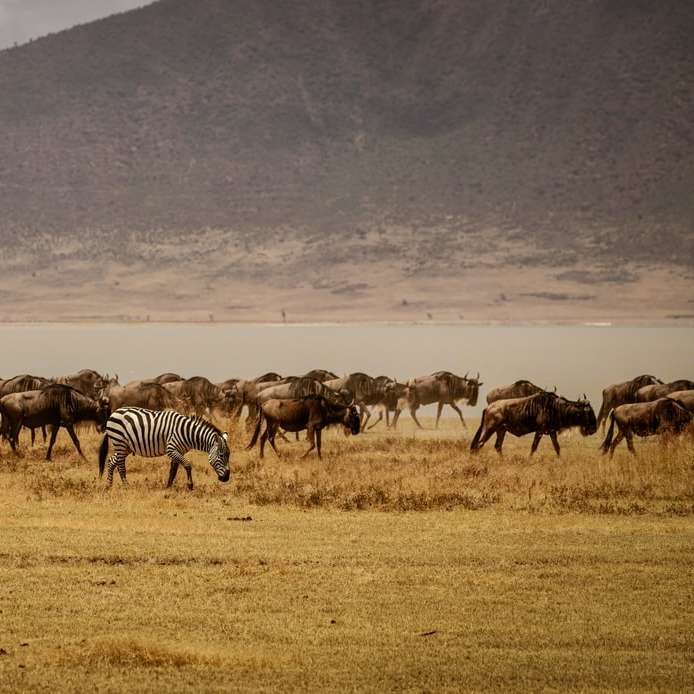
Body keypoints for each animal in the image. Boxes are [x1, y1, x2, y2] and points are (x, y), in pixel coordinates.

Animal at [98, 408, 231, 490]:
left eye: (228, 456)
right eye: (221, 456)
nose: (226, 478)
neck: (187, 432)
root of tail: (114, 412)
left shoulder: (178, 451)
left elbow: (173, 470)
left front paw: (168, 487)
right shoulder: (171, 449)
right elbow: (188, 464)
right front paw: (190, 485)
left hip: (126, 447)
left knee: (111, 461)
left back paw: (108, 485)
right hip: (120, 442)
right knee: (121, 466)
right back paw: (126, 486)